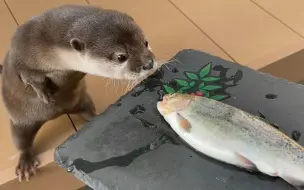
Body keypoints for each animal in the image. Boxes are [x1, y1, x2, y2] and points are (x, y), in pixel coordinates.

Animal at [0, 4, 157, 181]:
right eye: (121, 56)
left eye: (145, 42)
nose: (148, 63)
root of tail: (60, 113)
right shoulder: (21, 49)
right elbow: (27, 75)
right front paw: (44, 91)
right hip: (21, 120)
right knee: (21, 141)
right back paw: (25, 162)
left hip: (82, 100)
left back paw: (95, 117)